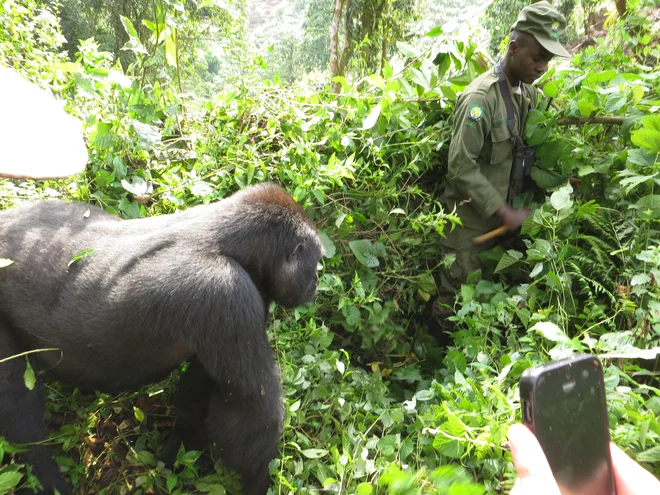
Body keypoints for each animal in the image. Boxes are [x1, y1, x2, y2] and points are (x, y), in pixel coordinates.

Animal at [0, 183, 322, 495]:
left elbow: (201, 392)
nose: (315, 283)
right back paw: (46, 476)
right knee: (18, 402)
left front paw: (178, 450)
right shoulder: (226, 292)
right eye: (315, 264)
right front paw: (258, 481)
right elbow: (251, 408)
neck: (229, 238)